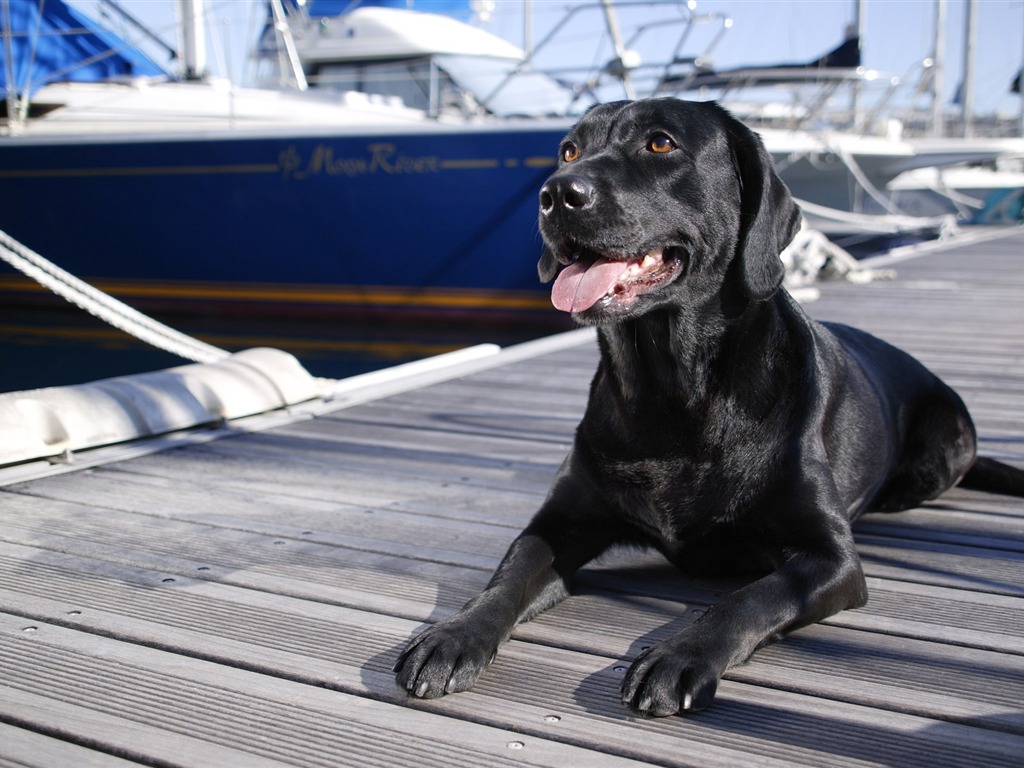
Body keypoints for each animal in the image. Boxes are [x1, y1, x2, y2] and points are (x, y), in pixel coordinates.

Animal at [393, 99, 1024, 720]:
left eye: (660, 143)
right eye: (568, 151)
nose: (556, 193)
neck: (672, 388)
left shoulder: (832, 558)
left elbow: (751, 597)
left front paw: (680, 656)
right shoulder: (560, 521)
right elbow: (507, 574)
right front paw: (453, 635)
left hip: (945, 440)